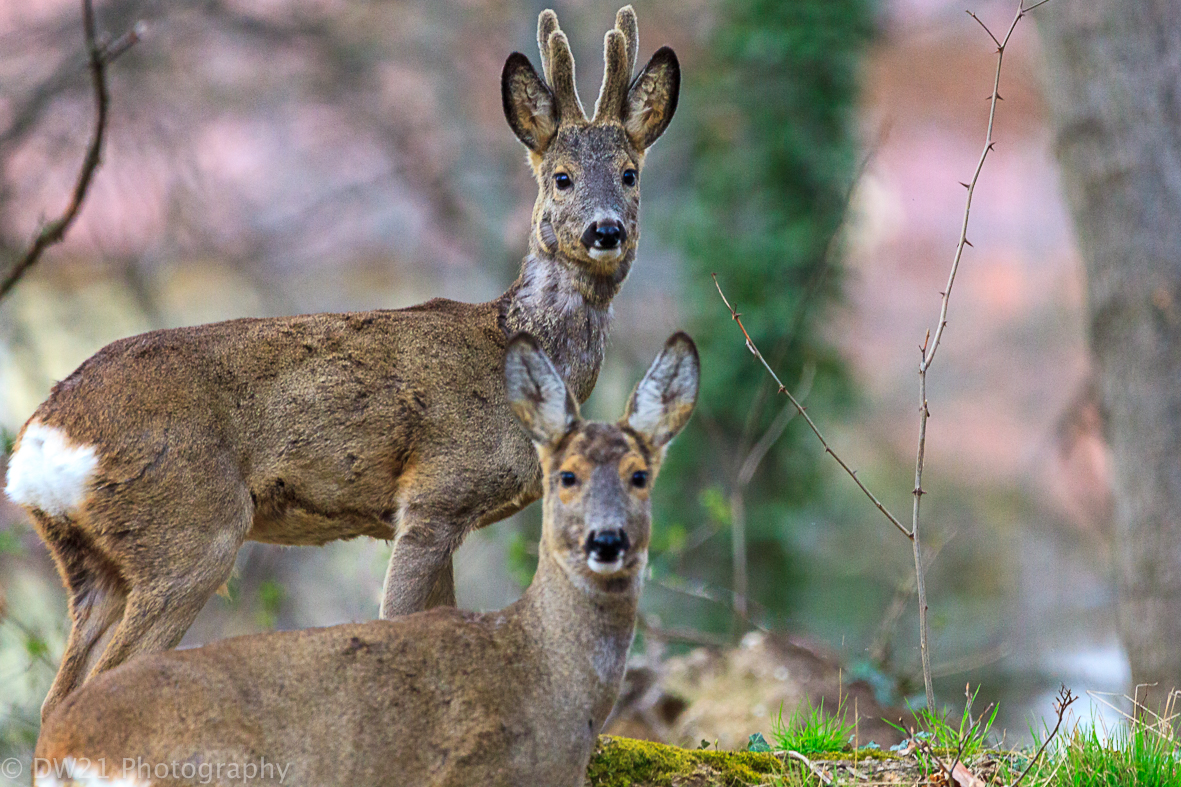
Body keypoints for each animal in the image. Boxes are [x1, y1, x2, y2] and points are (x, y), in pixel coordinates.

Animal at [6, 4, 684, 718]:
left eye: (630, 173)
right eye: (561, 176)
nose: (605, 230)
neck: (510, 344)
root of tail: (41, 437)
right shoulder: (435, 495)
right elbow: (402, 625)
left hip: (93, 566)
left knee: (57, 697)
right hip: (188, 529)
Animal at [34, 330, 699, 784]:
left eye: (641, 476)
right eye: (565, 476)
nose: (607, 541)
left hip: (93, 578)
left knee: (56, 692)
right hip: (193, 548)